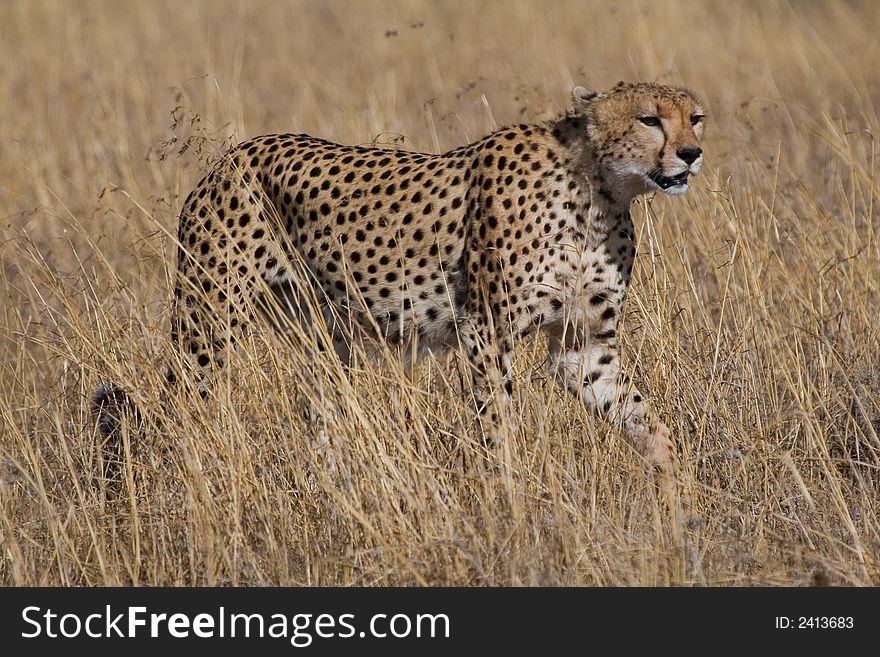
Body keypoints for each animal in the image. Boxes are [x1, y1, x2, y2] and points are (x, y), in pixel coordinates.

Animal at [93, 82, 704, 472]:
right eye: (649, 119)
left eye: (694, 117)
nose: (692, 153)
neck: (598, 192)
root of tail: (232, 153)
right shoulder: (486, 331)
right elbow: (499, 425)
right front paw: (508, 499)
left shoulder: (584, 345)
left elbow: (641, 418)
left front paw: (676, 488)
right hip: (207, 322)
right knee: (179, 408)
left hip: (327, 339)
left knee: (324, 417)